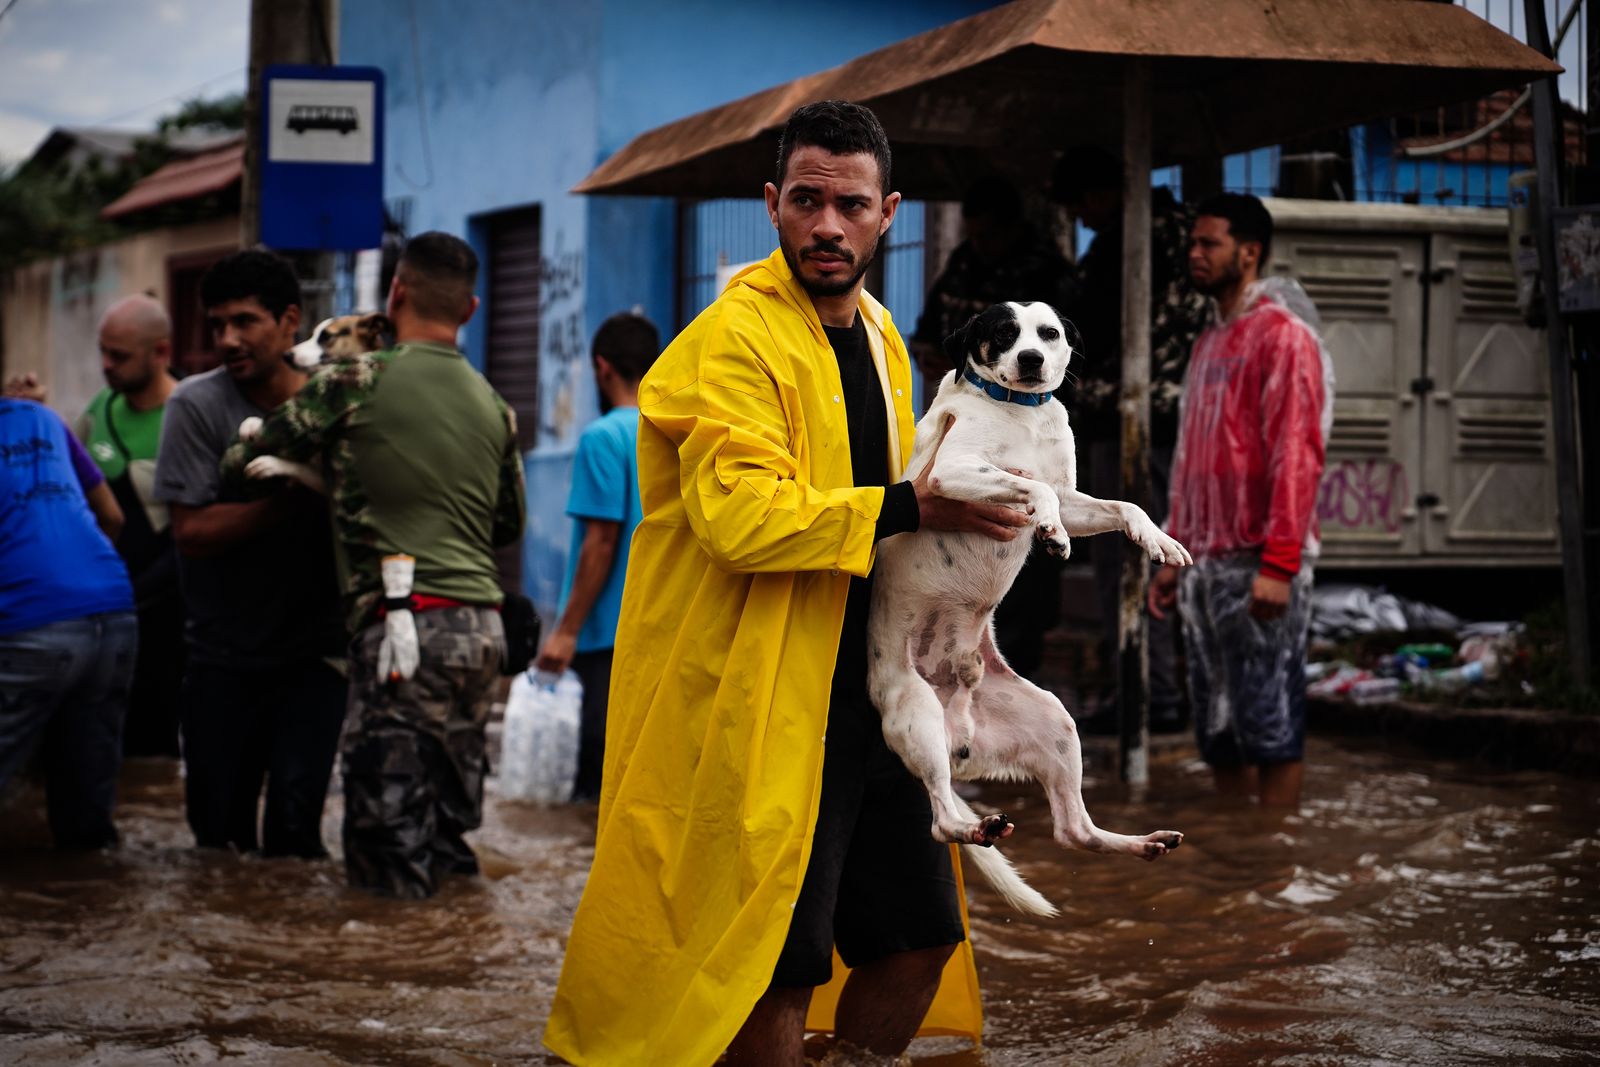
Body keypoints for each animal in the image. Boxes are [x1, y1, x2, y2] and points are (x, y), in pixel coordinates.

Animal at [236, 310, 393, 489]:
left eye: (326, 337)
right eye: (311, 335)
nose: (286, 356)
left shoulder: (326, 482)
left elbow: (301, 467)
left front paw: (271, 464)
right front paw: (251, 423)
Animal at [870, 302, 1196, 921]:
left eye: (1049, 333)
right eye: (1003, 333)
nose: (1030, 359)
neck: (1020, 413)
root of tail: (959, 724)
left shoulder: (1075, 498)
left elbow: (1123, 505)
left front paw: (1156, 540)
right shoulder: (953, 474)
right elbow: (1034, 493)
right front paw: (1047, 532)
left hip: (1056, 723)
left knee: (1074, 831)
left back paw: (1141, 843)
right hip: (916, 715)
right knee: (942, 821)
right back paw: (975, 829)